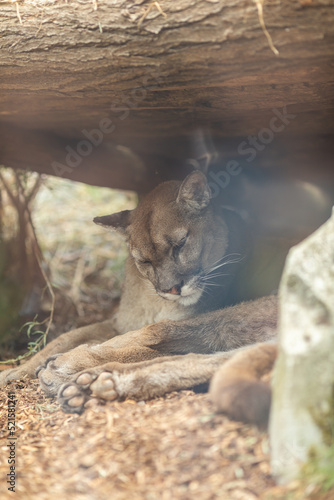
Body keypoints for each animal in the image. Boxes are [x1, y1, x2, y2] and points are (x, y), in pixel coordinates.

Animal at [0, 171, 276, 426]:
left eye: (180, 244)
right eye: (144, 261)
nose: (171, 288)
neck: (154, 302)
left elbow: (145, 343)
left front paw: (64, 364)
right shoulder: (117, 322)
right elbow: (65, 337)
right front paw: (14, 371)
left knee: (162, 336)